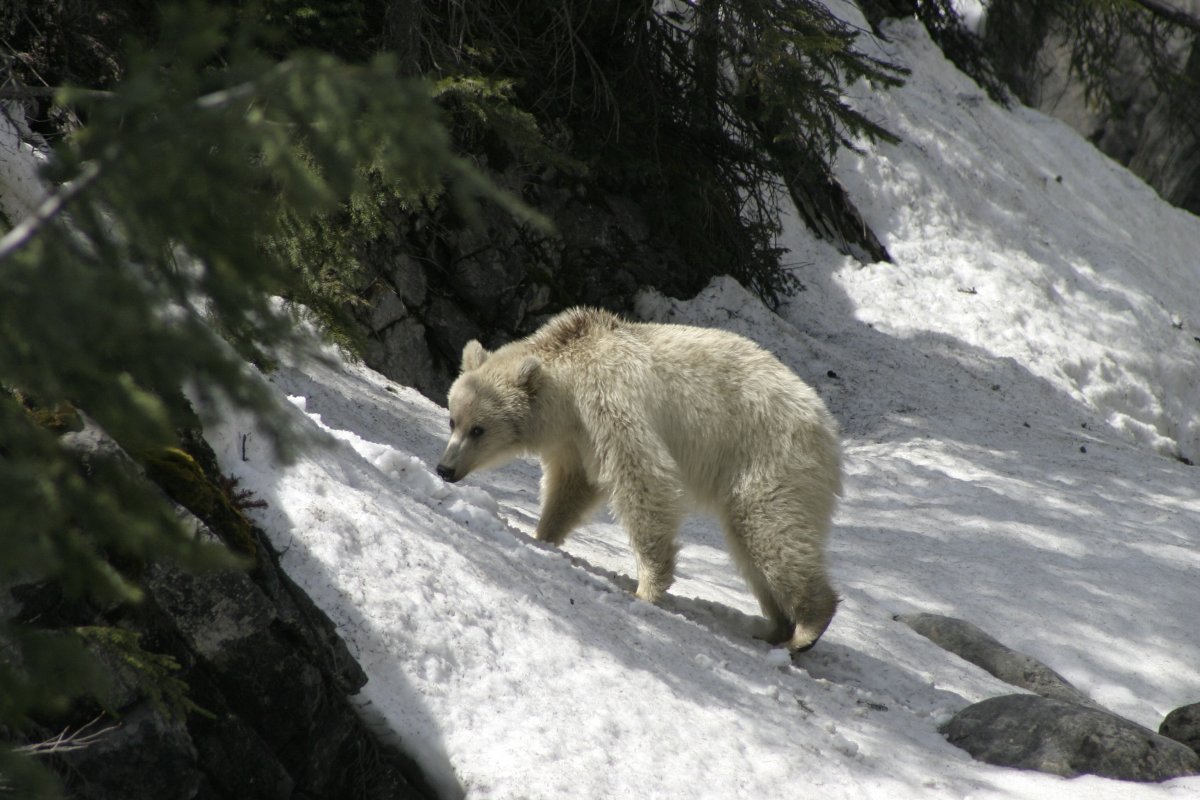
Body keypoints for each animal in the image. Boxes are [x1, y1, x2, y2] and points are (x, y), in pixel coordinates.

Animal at [436, 307, 840, 652]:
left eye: (478, 429)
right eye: (453, 420)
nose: (445, 469)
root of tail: (824, 420)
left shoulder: (610, 401)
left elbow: (643, 477)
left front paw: (646, 588)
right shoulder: (576, 438)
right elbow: (572, 487)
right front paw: (544, 535)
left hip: (769, 456)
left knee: (771, 529)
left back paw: (806, 628)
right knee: (751, 544)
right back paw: (776, 627)